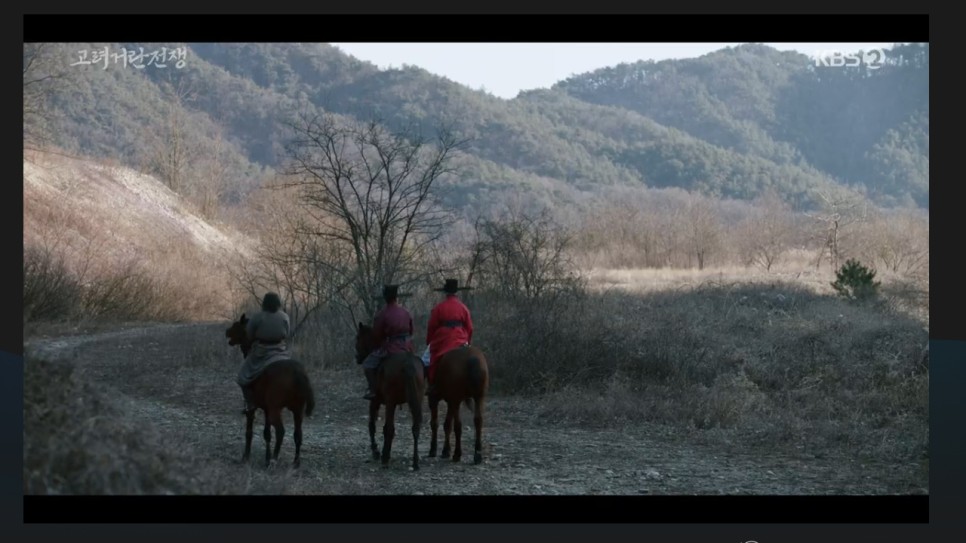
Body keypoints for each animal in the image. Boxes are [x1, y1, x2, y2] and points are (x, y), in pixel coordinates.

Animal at [227, 314, 318, 472]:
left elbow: (249, 432)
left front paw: (246, 457)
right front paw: (266, 458)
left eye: (237, 325)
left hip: (277, 410)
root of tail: (298, 372)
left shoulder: (254, 408)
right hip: (297, 410)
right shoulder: (267, 409)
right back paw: (295, 462)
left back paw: (274, 460)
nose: (227, 332)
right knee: (298, 434)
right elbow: (267, 434)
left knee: (281, 431)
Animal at [356, 324, 424, 472]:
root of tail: (408, 363)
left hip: (390, 402)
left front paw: (376, 452)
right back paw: (415, 461)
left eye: (358, 338)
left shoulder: (375, 401)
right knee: (415, 428)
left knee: (390, 429)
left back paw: (385, 458)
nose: (357, 357)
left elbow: (372, 425)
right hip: (416, 400)